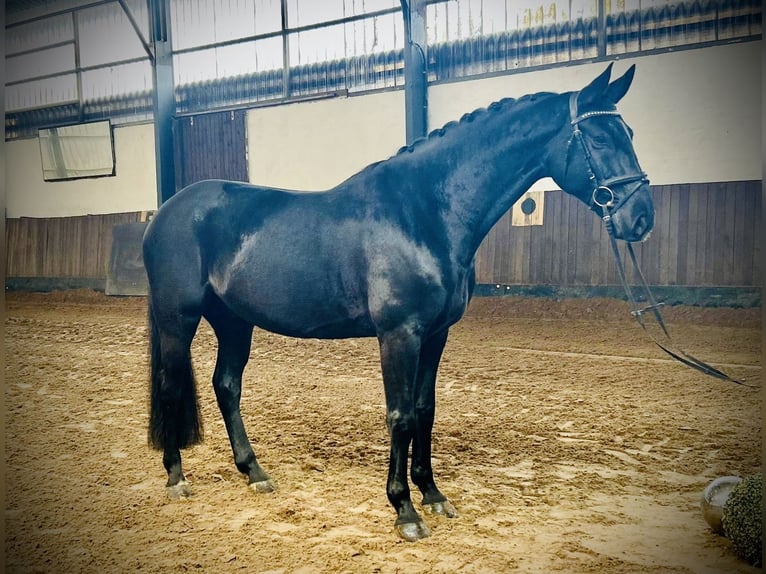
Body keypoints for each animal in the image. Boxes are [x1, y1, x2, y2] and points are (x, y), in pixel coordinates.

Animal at [142, 65, 656, 544]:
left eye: (631, 134)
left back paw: (254, 472)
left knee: (226, 386)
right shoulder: (399, 334)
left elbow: (425, 410)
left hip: (234, 322)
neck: (425, 212)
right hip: (178, 319)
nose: (641, 218)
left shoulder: (435, 335)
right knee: (171, 384)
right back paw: (176, 476)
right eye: (598, 137)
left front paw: (433, 494)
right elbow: (401, 415)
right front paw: (404, 510)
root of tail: (166, 212)